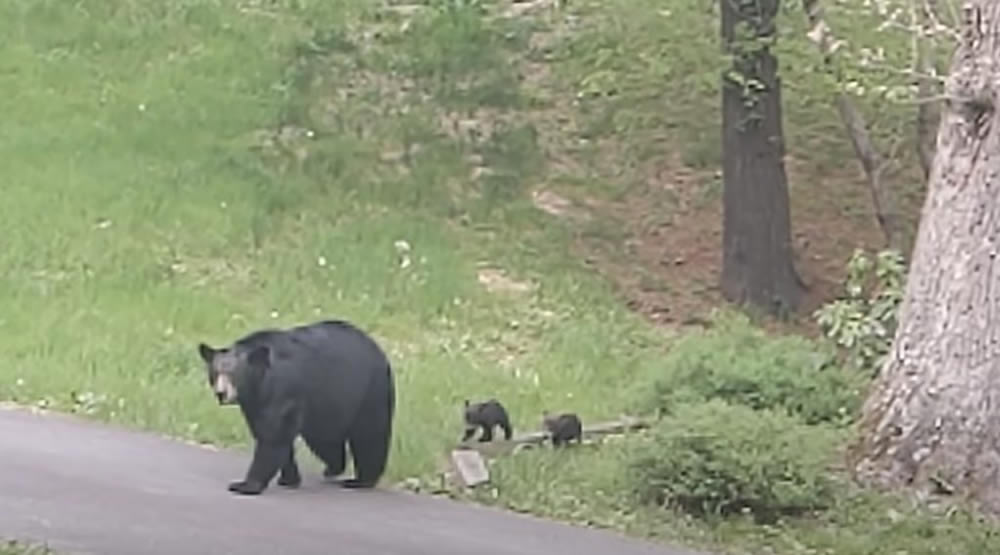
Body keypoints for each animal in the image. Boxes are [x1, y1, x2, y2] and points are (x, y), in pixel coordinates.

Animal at [195, 320, 394, 498]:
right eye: (215, 373)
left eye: (234, 374)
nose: (221, 393)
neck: (261, 382)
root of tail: (377, 348)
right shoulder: (255, 403)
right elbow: (270, 433)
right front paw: (289, 479)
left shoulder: (282, 391)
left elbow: (273, 437)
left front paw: (245, 485)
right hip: (326, 406)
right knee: (325, 439)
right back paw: (333, 468)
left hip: (369, 392)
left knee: (369, 435)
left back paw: (361, 480)